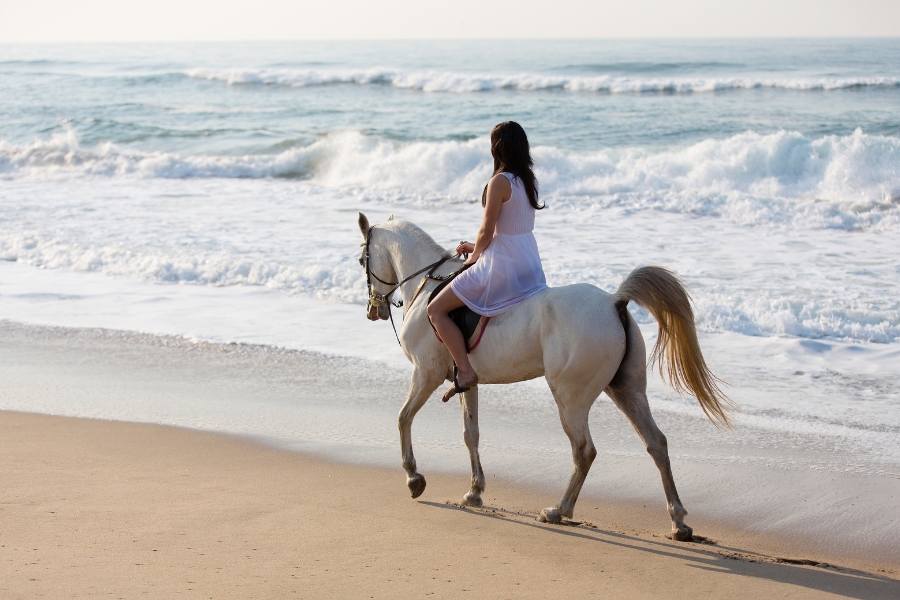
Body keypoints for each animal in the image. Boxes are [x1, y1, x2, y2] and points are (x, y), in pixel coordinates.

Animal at [357, 213, 732, 540]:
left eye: (362, 260)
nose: (373, 310)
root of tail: (614, 301)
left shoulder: (426, 373)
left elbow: (403, 418)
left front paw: (413, 478)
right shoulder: (466, 382)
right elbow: (470, 434)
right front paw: (475, 491)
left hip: (570, 398)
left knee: (584, 450)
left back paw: (558, 510)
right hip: (626, 390)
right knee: (656, 443)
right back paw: (678, 522)